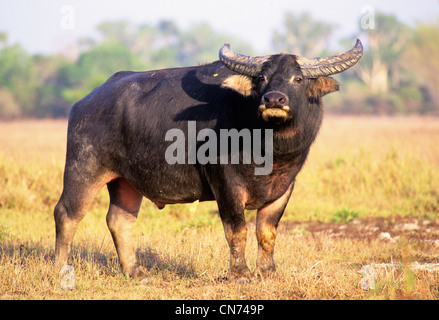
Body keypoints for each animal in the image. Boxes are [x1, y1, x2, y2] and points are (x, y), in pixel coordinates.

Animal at [54, 38, 364, 282]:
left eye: (298, 79)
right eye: (262, 79)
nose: (273, 100)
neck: (268, 149)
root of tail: (85, 102)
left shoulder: (285, 187)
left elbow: (267, 231)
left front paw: (268, 272)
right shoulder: (225, 183)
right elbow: (237, 229)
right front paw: (241, 274)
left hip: (125, 181)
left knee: (119, 220)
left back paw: (136, 272)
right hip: (84, 168)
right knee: (66, 213)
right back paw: (61, 268)